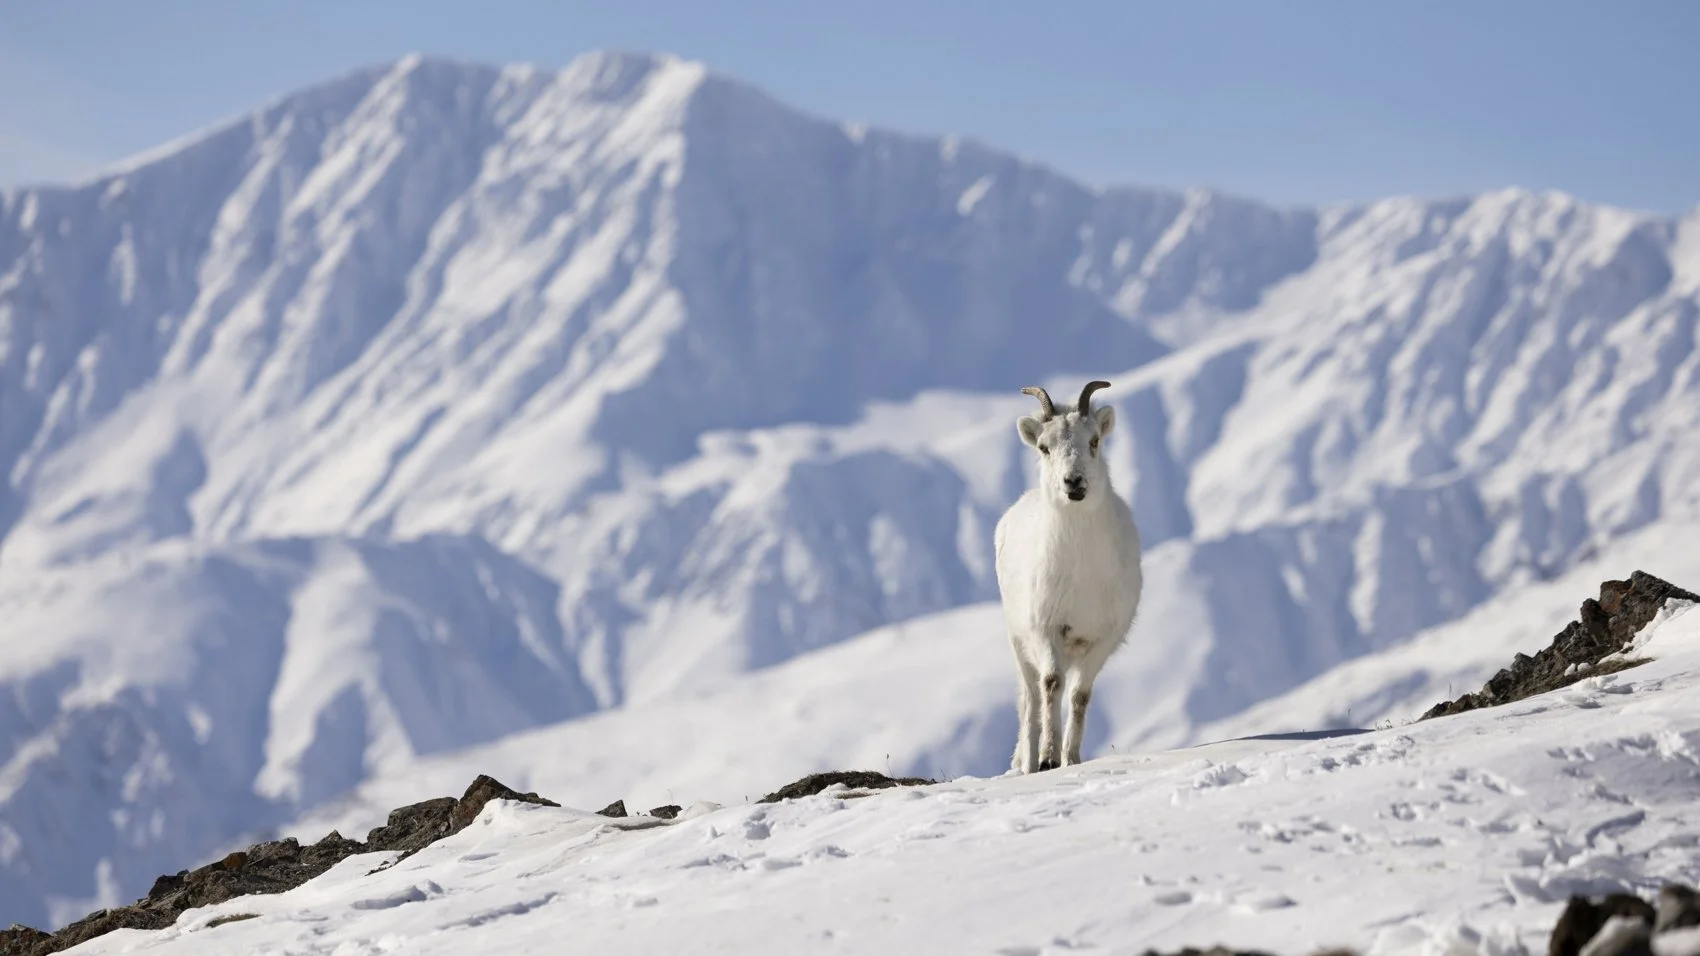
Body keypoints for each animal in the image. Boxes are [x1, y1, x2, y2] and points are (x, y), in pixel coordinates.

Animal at [993, 379, 1144, 773]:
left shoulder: (1102, 640)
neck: (1082, 572)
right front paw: (1047, 759)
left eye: (1094, 440)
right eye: (1044, 447)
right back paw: (1025, 763)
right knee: (1030, 698)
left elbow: (1079, 695)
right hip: (1018, 642)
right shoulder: (1045, 631)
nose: (1073, 482)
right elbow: (1052, 685)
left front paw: (1070, 759)